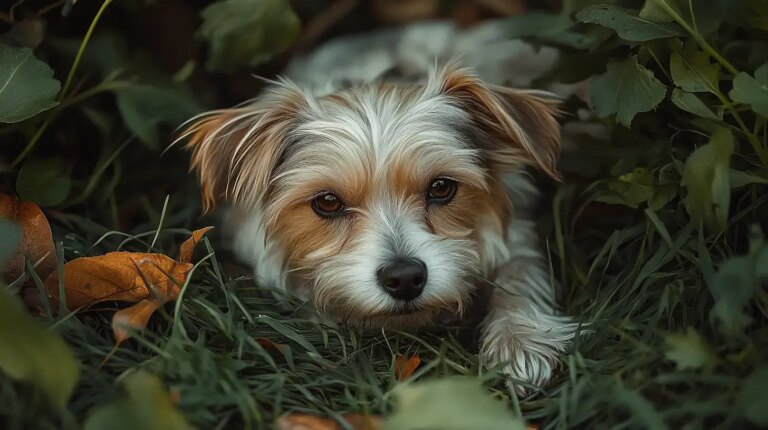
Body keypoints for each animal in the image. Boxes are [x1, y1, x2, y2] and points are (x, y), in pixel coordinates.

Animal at [177, 23, 580, 394]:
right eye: (327, 202)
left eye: (441, 187)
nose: (404, 278)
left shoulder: (517, 236)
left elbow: (519, 276)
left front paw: (519, 341)